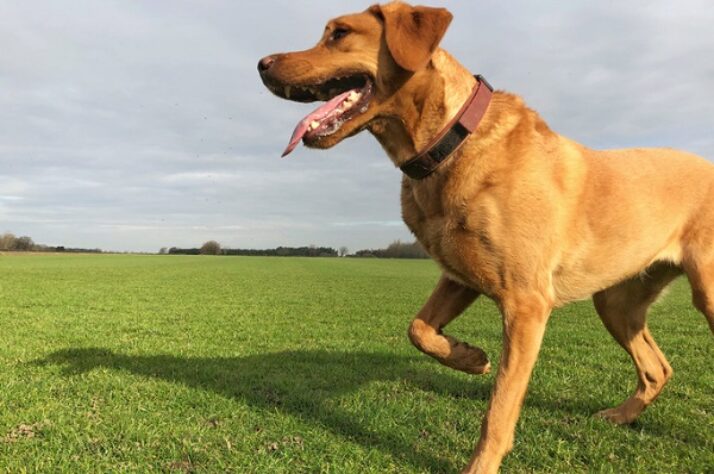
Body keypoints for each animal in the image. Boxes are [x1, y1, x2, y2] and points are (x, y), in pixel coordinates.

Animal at [256, 1, 712, 472]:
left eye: (340, 33)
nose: (261, 64)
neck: (450, 144)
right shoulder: (460, 276)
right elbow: (418, 328)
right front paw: (470, 358)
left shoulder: (526, 304)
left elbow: (500, 406)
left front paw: (482, 462)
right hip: (617, 301)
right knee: (657, 368)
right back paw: (621, 415)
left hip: (705, 290)